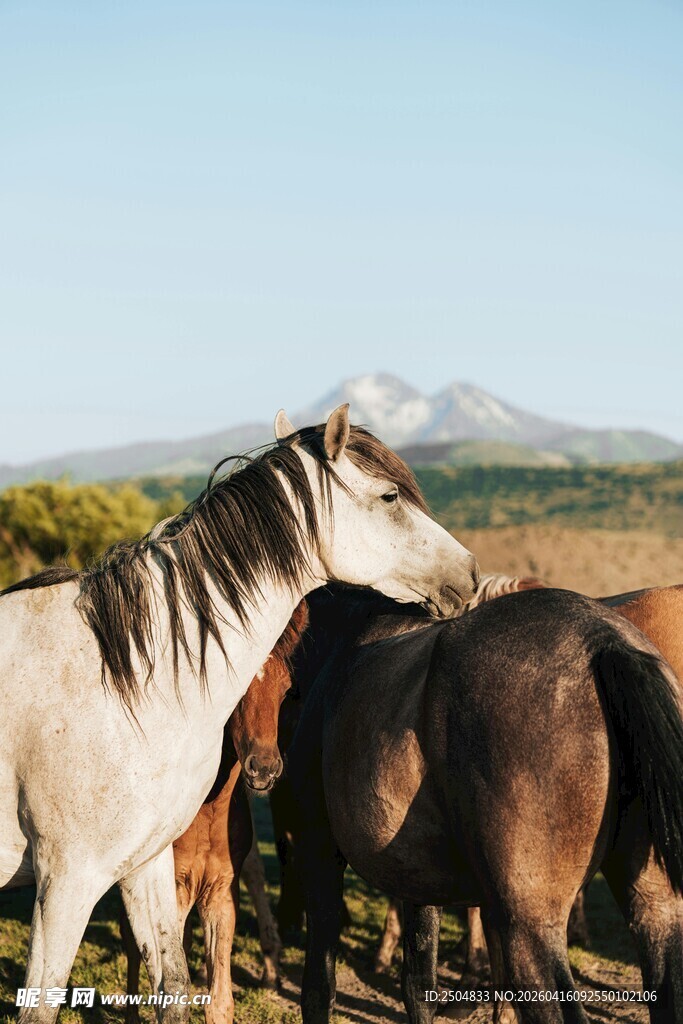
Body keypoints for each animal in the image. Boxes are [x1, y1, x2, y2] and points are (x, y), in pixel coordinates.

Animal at [121, 600, 308, 1024]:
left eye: (287, 689)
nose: (264, 768)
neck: (207, 817)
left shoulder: (221, 893)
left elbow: (220, 1000)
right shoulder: (172, 890)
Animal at [282, 584, 683, 1024]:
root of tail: (605, 641)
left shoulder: (319, 852)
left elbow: (319, 987)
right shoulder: (416, 876)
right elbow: (418, 985)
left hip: (530, 927)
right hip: (656, 910)